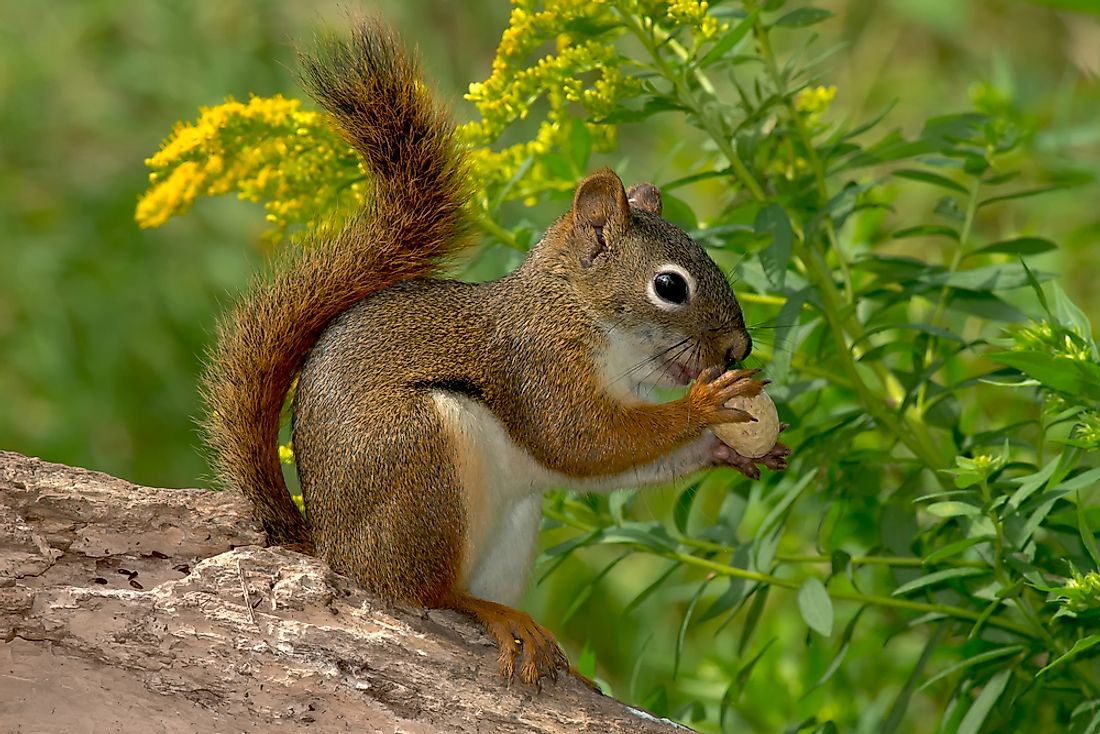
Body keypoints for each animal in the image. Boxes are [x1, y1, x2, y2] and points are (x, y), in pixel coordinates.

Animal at [202, 21, 792, 691]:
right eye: (670, 286)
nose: (739, 348)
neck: (580, 313)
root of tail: (331, 549)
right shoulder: (537, 364)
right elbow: (581, 439)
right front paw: (705, 405)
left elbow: (610, 461)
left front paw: (738, 449)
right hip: (419, 464)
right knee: (423, 591)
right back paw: (491, 613)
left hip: (510, 525)